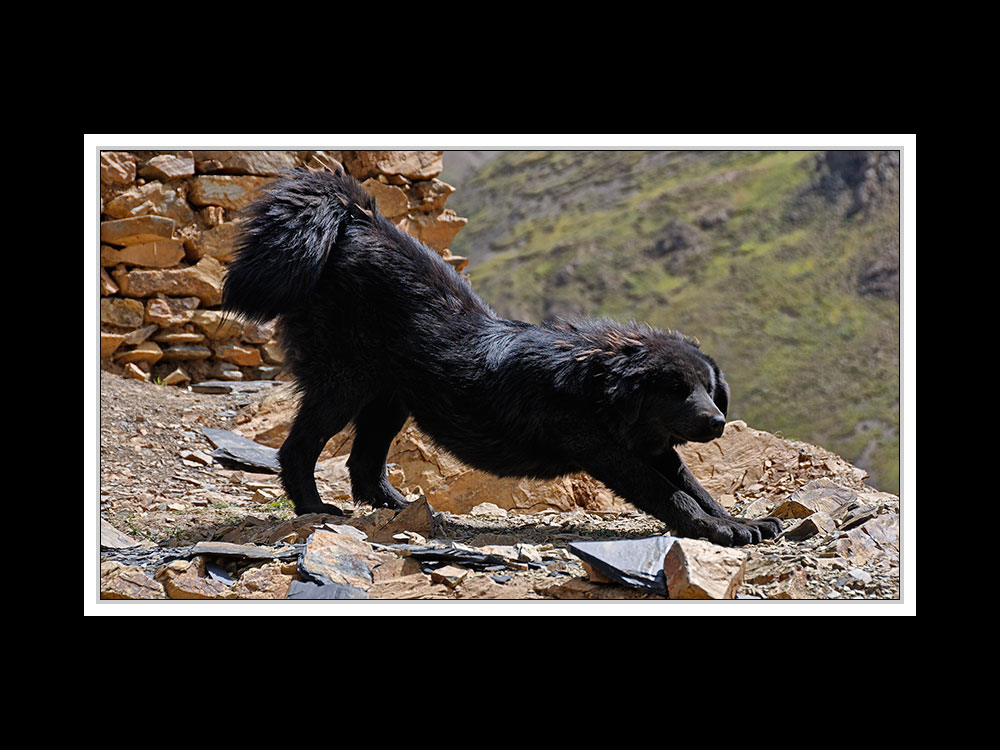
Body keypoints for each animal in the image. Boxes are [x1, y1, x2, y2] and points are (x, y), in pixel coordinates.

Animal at [225, 169, 780, 548]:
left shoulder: (656, 448)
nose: (716, 422)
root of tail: (357, 218)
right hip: (343, 383)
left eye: (709, 389)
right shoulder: (608, 452)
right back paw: (314, 508)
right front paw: (716, 530)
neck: (596, 385)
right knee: (299, 448)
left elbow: (697, 486)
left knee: (364, 463)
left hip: (391, 397)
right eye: (675, 389)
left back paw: (402, 509)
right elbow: (671, 495)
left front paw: (740, 521)